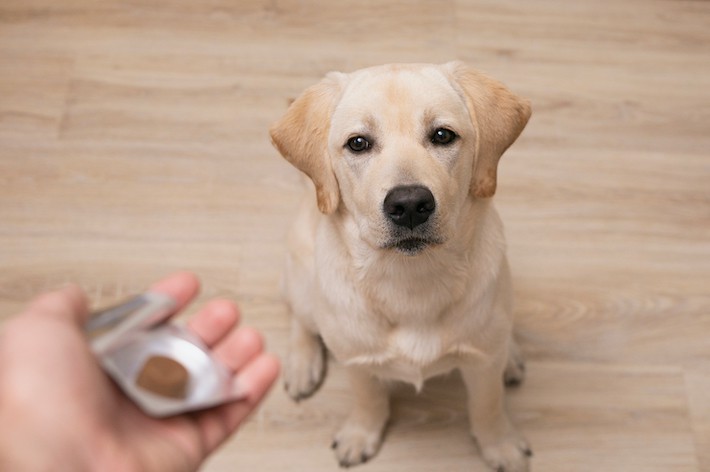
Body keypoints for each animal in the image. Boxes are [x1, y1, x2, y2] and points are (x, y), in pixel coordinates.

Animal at [272, 62, 536, 472]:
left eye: (443, 135)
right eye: (358, 143)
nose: (410, 204)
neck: (411, 281)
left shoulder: (482, 365)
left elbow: (487, 405)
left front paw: (500, 443)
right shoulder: (357, 362)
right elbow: (368, 399)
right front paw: (361, 433)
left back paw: (510, 355)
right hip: (300, 278)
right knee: (302, 319)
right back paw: (302, 363)